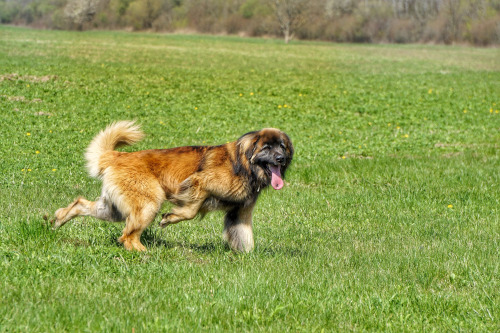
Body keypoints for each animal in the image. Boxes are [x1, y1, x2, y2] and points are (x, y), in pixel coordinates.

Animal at [50, 121, 292, 252]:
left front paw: (248, 257)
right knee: (127, 236)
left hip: (113, 208)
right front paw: (170, 218)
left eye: (282, 146)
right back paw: (143, 252)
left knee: (81, 204)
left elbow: (244, 237)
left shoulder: (240, 212)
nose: (281, 159)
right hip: (148, 204)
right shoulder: (199, 182)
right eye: (266, 148)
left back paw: (58, 220)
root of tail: (118, 156)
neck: (243, 164)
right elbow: (191, 210)